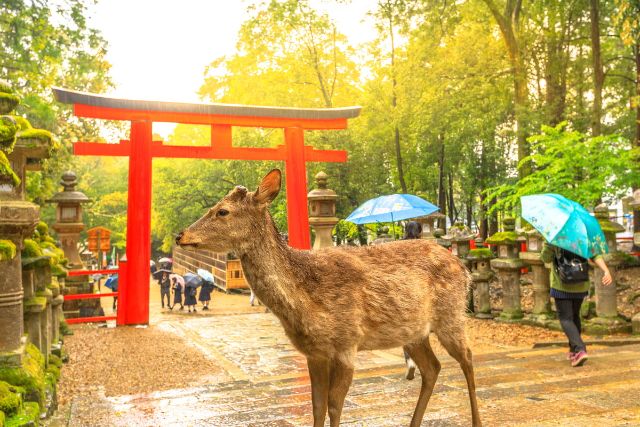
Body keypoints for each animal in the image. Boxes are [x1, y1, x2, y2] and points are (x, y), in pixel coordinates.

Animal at [175, 171, 480, 427]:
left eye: (222, 211)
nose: (180, 235)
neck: (304, 303)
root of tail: (463, 267)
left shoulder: (347, 343)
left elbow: (334, 405)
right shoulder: (315, 352)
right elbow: (317, 406)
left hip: (451, 315)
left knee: (467, 359)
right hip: (414, 332)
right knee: (433, 368)